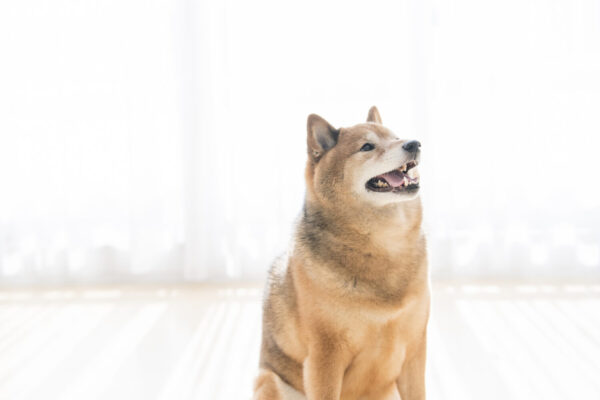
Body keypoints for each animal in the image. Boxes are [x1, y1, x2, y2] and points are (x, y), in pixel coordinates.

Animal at [255, 107, 428, 400]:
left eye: (396, 137)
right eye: (367, 147)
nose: (414, 143)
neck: (382, 246)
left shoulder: (414, 350)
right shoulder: (325, 357)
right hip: (270, 380)